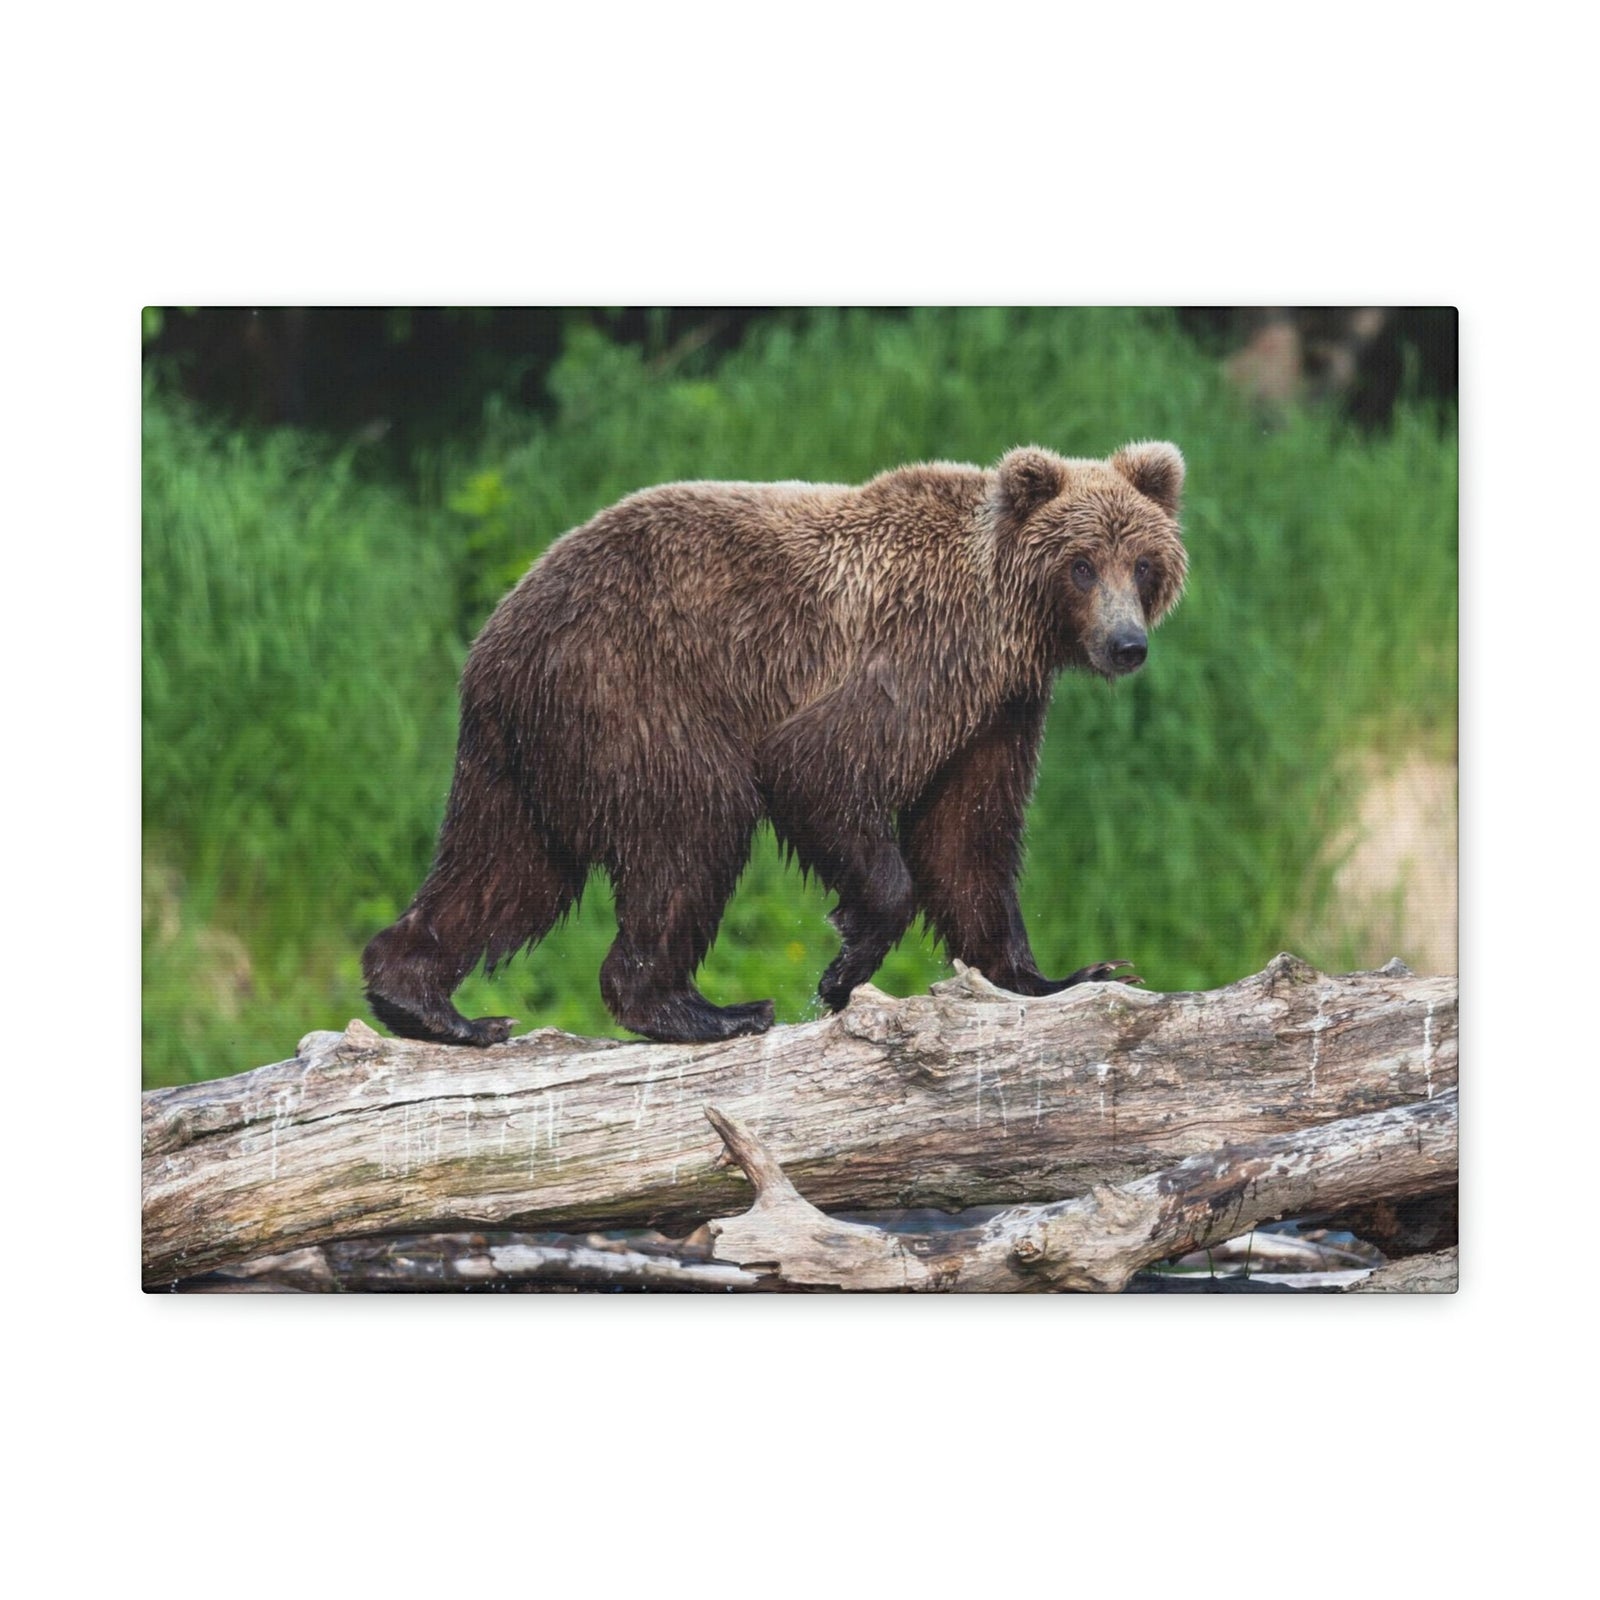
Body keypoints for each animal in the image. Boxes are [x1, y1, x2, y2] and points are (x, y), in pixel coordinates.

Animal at [362, 440, 1188, 1047]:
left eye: (1144, 563)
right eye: (1081, 564)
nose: (1126, 644)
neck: (1006, 626)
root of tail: (493, 639)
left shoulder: (998, 712)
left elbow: (967, 841)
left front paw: (1070, 974)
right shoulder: (915, 658)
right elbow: (819, 766)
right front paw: (843, 969)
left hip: (528, 757)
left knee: (505, 871)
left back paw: (431, 1004)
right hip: (633, 691)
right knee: (692, 827)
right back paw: (706, 1010)